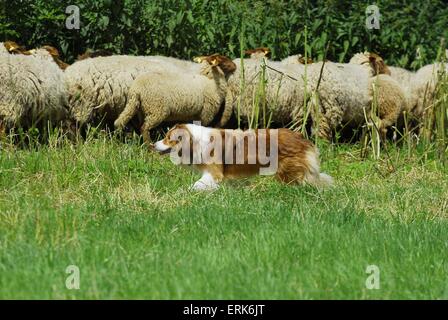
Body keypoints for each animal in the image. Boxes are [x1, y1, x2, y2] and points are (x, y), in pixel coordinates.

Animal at [154, 123, 332, 190]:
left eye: (168, 139)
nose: (153, 145)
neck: (195, 141)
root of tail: (301, 138)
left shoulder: (213, 174)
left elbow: (195, 186)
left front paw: (184, 192)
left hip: (288, 172)